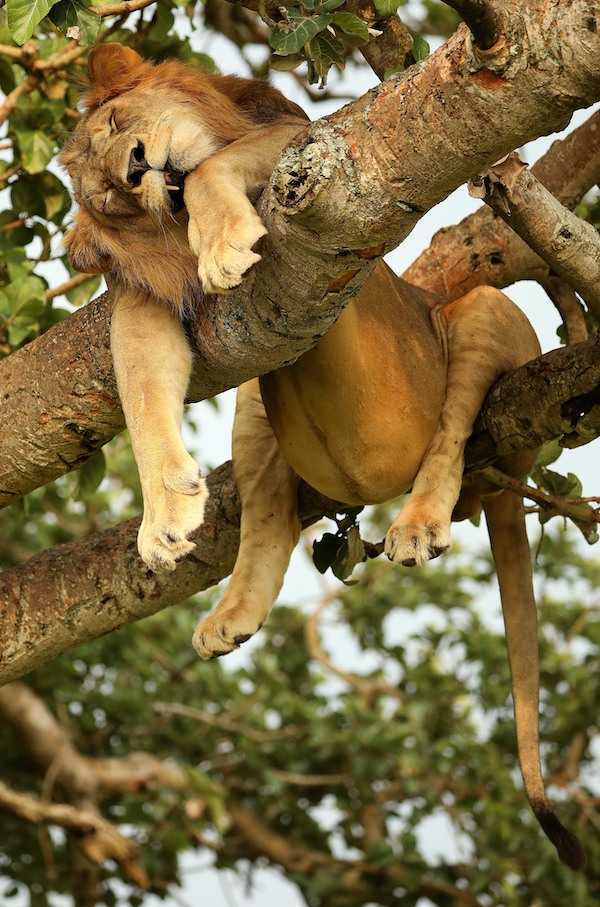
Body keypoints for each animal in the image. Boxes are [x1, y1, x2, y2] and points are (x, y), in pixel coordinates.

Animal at [59, 44, 580, 872]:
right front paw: (165, 515)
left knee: (455, 437)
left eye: (115, 125)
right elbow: (141, 387)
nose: (138, 168)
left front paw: (222, 241)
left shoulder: (307, 148)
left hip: (478, 313)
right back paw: (232, 613)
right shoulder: (150, 301)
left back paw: (418, 522)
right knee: (270, 509)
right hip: (260, 405)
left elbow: (220, 165)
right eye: (108, 195)